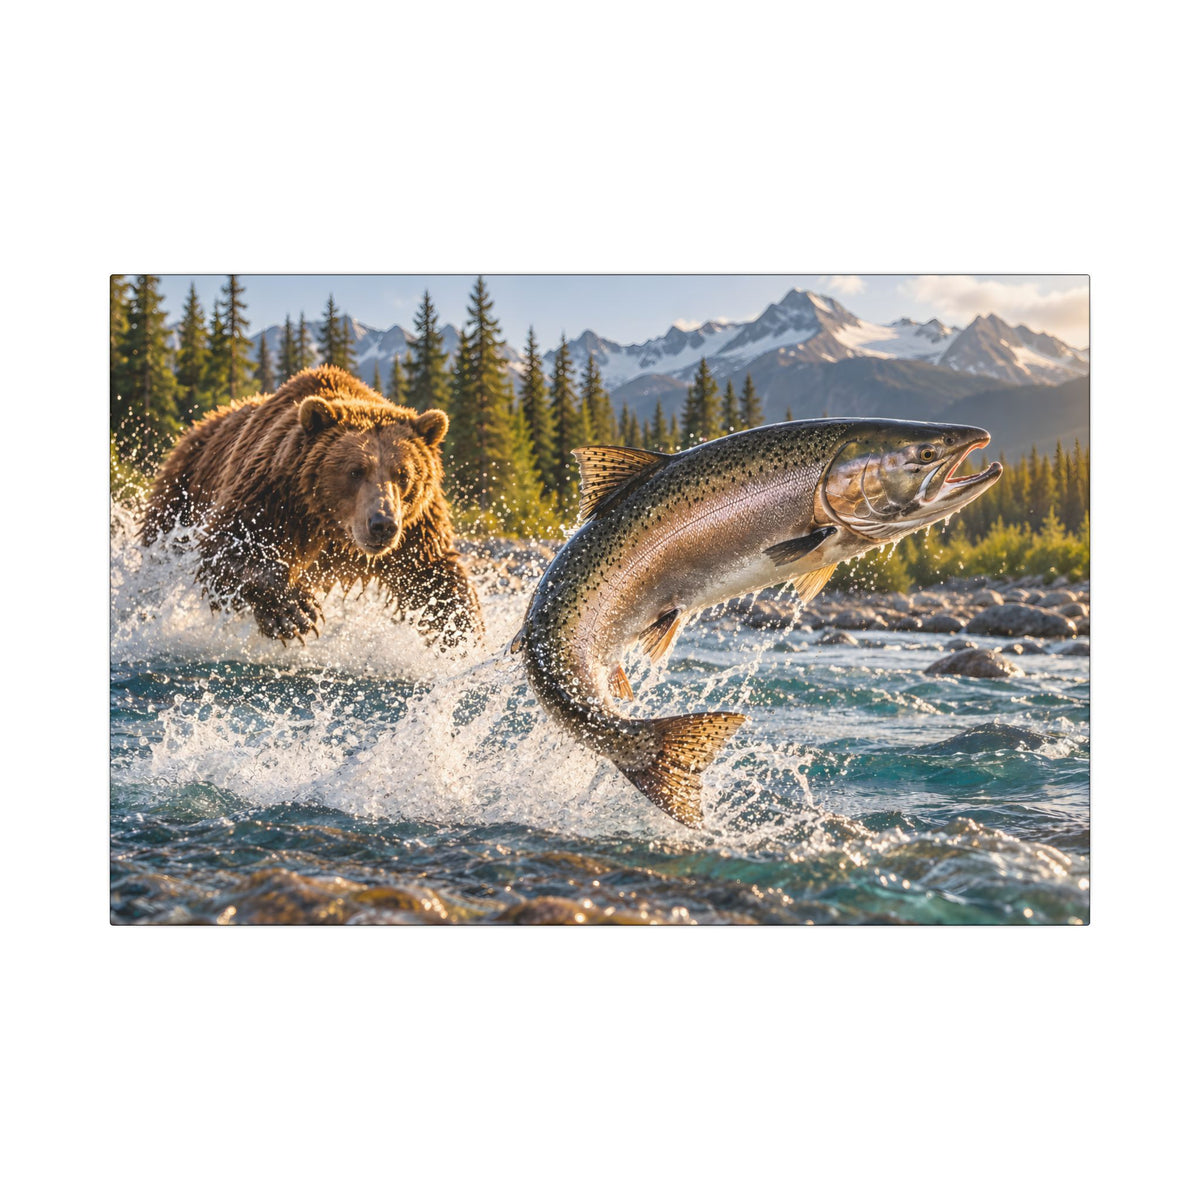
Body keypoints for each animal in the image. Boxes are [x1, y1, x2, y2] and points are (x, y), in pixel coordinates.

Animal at [140, 365, 484, 650]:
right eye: (355, 471)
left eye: (403, 474)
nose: (382, 524)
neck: (331, 526)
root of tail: (202, 422)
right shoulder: (271, 496)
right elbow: (228, 550)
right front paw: (295, 612)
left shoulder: (415, 529)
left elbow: (433, 574)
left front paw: (463, 634)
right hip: (182, 491)